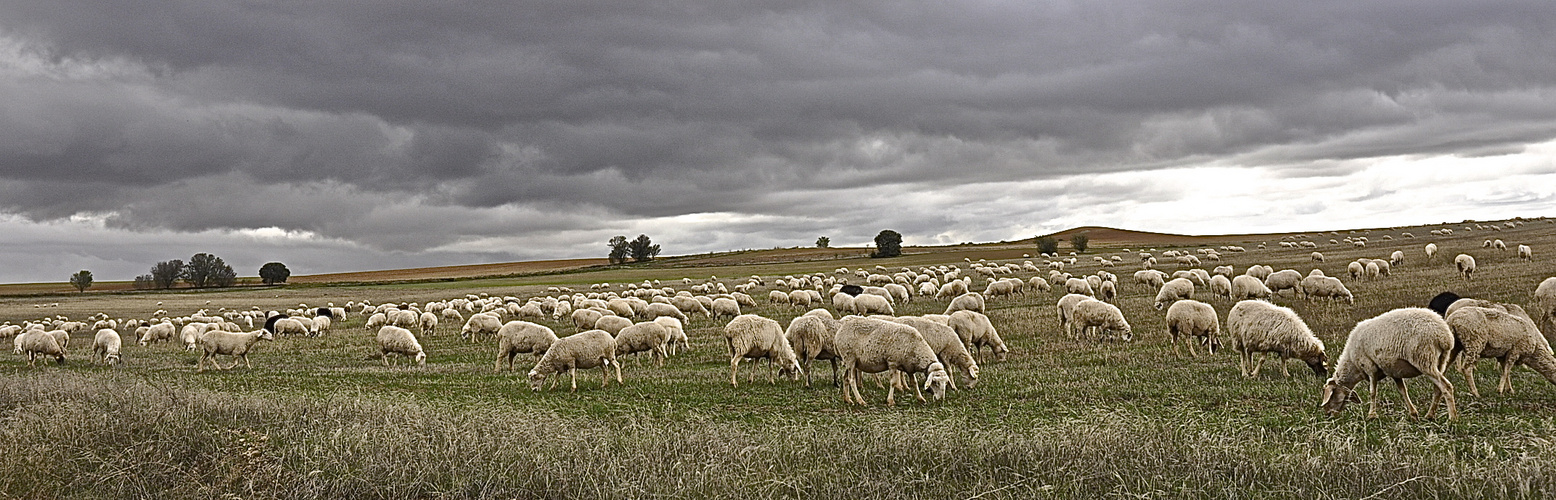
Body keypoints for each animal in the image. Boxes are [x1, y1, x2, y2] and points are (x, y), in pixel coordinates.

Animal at [1313, 305, 1456, 417]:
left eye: (1330, 396)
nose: (1328, 415)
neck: (1353, 365)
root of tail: (1444, 336)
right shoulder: (1394, 371)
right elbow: (1403, 391)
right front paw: (1413, 414)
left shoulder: (1370, 367)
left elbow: (1372, 392)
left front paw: (1371, 415)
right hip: (1441, 361)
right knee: (1438, 389)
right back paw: (1430, 415)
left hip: (1424, 359)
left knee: (1446, 386)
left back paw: (1452, 418)